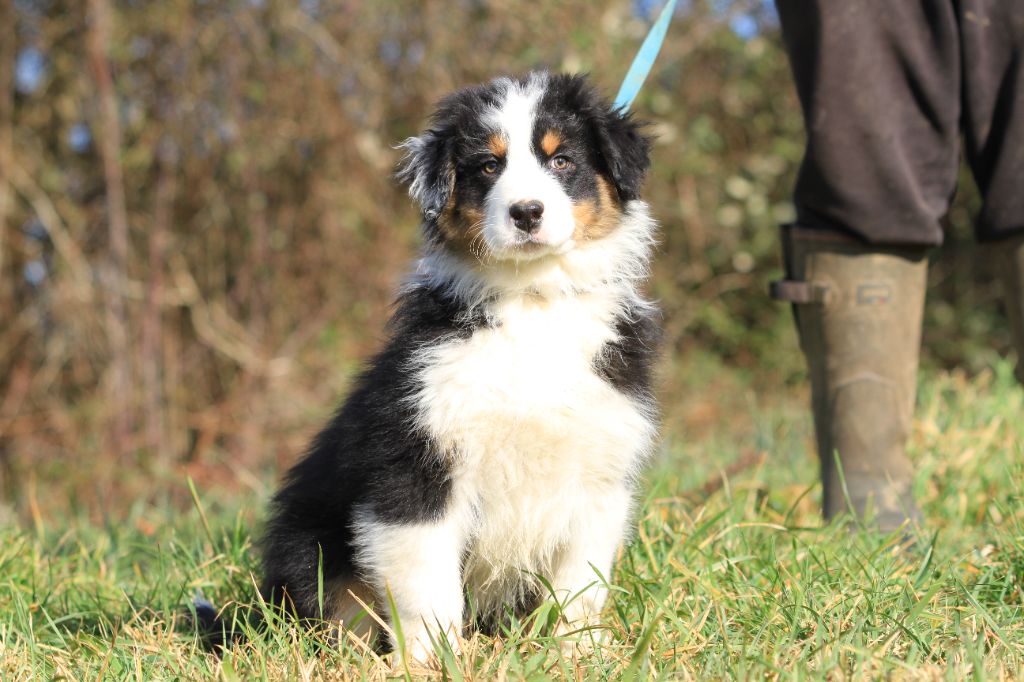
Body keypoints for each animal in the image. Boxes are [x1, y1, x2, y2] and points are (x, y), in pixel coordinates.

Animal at [260, 70, 659, 659]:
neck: (532, 301)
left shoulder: (599, 471)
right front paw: (434, 659)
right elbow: (426, 582)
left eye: (562, 160)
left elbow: (580, 581)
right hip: (310, 544)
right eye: (489, 166)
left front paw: (578, 652)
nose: (526, 212)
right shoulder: (416, 465)